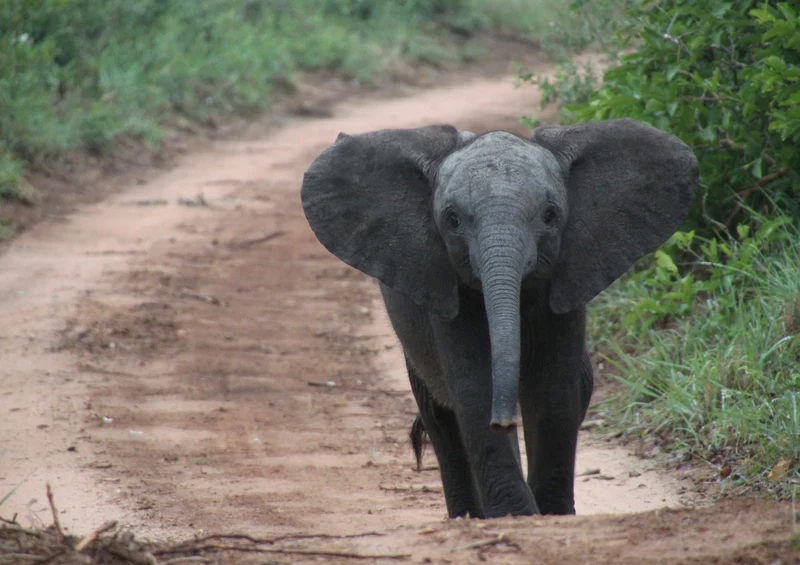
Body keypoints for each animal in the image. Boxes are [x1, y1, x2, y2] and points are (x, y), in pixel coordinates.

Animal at [301, 118, 699, 519]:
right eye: (452, 220)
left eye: (551, 216)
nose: (503, 422)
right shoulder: (446, 287)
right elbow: (474, 386)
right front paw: (516, 514)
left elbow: (554, 389)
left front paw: (553, 514)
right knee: (438, 415)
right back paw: (467, 515)